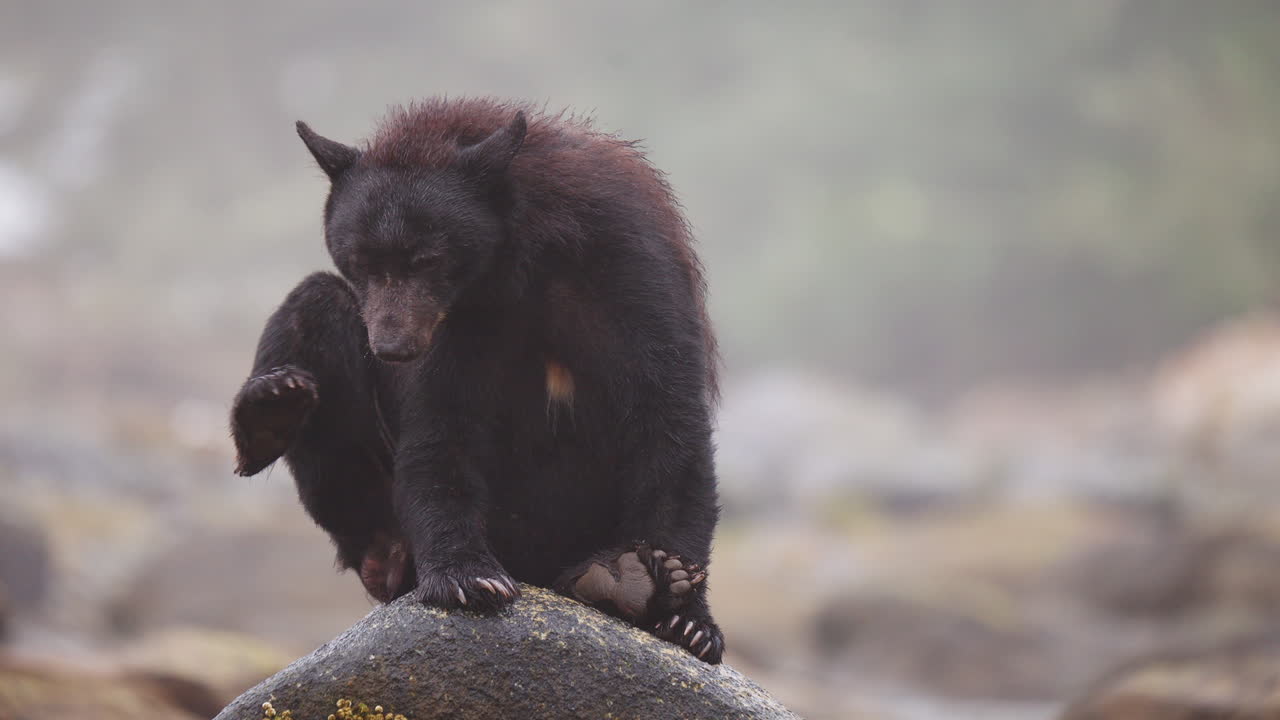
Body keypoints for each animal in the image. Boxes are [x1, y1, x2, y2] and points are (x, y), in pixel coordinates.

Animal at [229, 98, 723, 662]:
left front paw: (684, 610)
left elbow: (667, 416)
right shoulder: (459, 328)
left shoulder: (630, 273)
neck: (521, 259)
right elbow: (443, 428)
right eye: (360, 260)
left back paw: (619, 578)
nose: (391, 347)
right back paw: (271, 408)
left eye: (427, 258)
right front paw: (468, 577)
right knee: (317, 303)